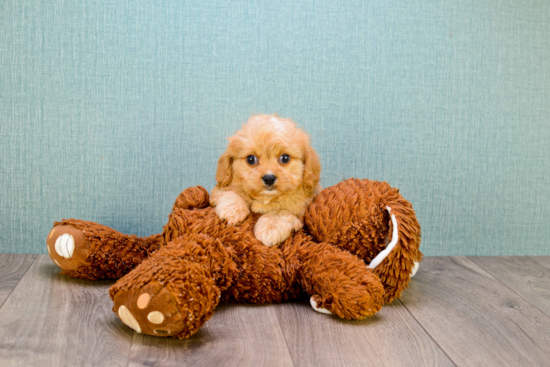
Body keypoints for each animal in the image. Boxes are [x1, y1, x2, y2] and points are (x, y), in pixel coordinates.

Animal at [211, 115, 324, 247]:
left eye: (285, 158)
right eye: (251, 159)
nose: (269, 178)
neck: (267, 197)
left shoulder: (301, 208)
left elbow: (281, 211)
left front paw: (271, 227)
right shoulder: (223, 186)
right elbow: (231, 191)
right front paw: (232, 210)